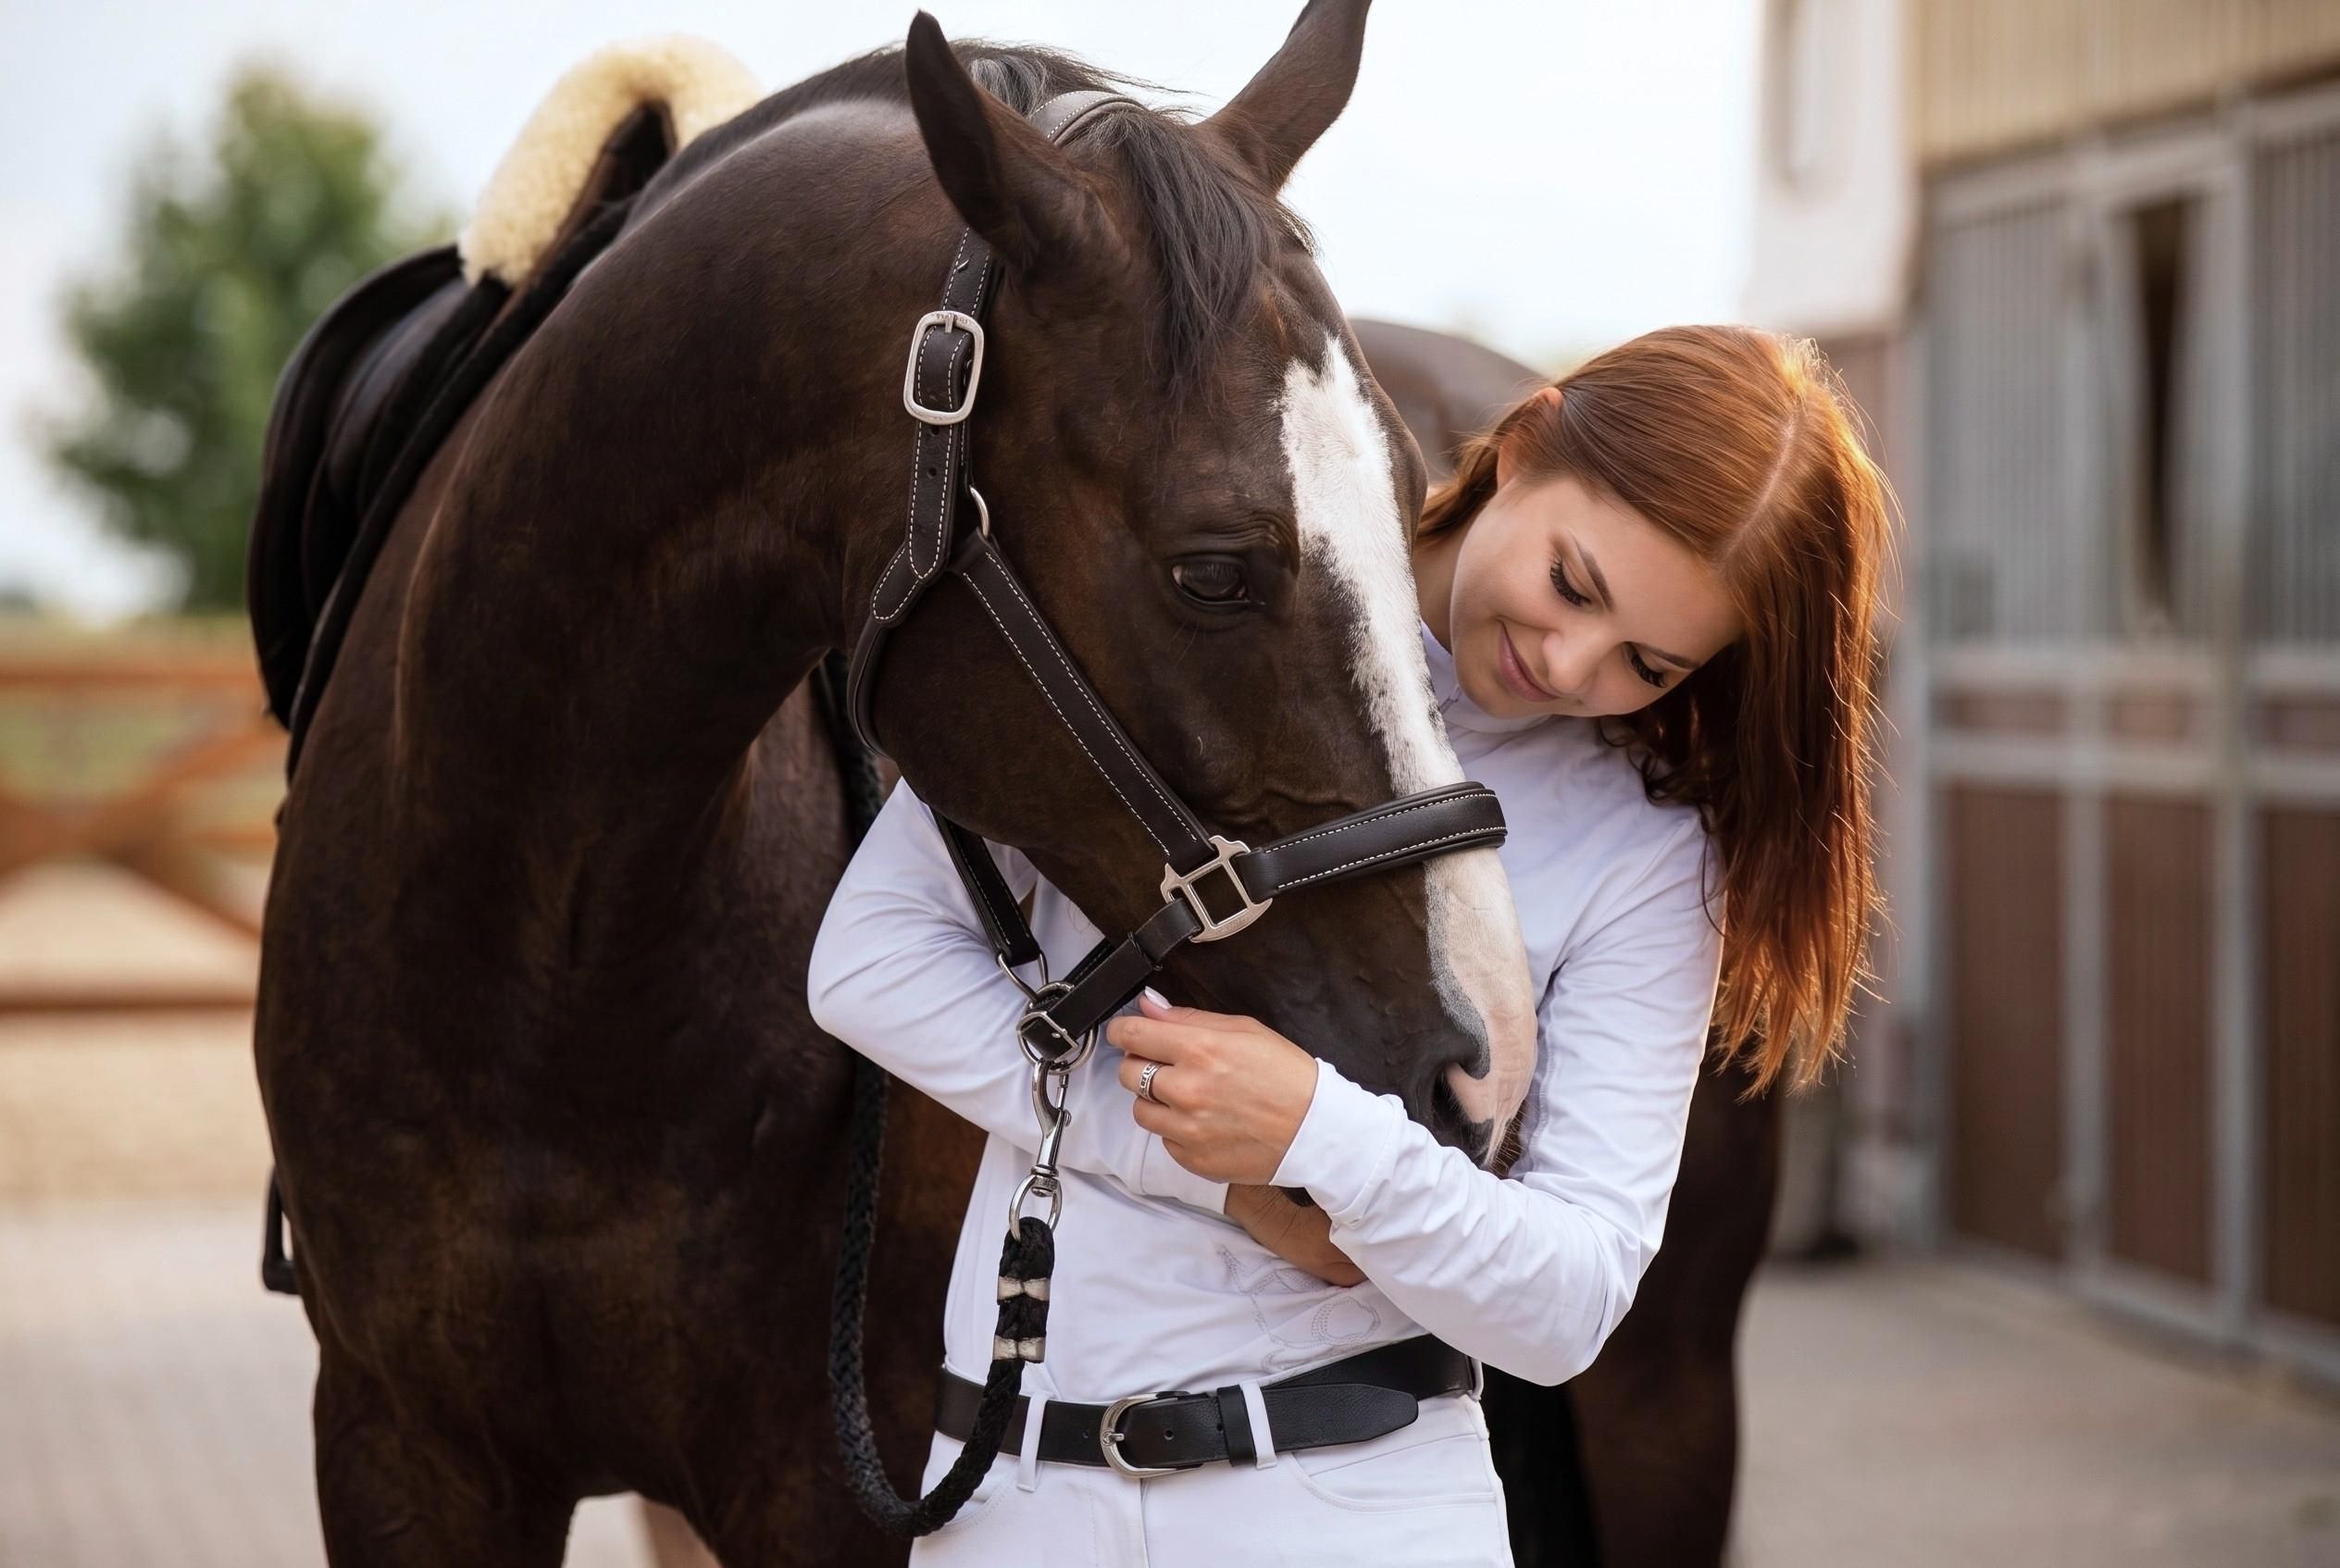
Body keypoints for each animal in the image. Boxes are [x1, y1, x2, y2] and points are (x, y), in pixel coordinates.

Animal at [247, 6, 1541, 1564]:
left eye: (1418, 509)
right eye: (1212, 569)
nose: (1484, 1067)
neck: (543, 956)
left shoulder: (823, 1481)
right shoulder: (403, 1449)